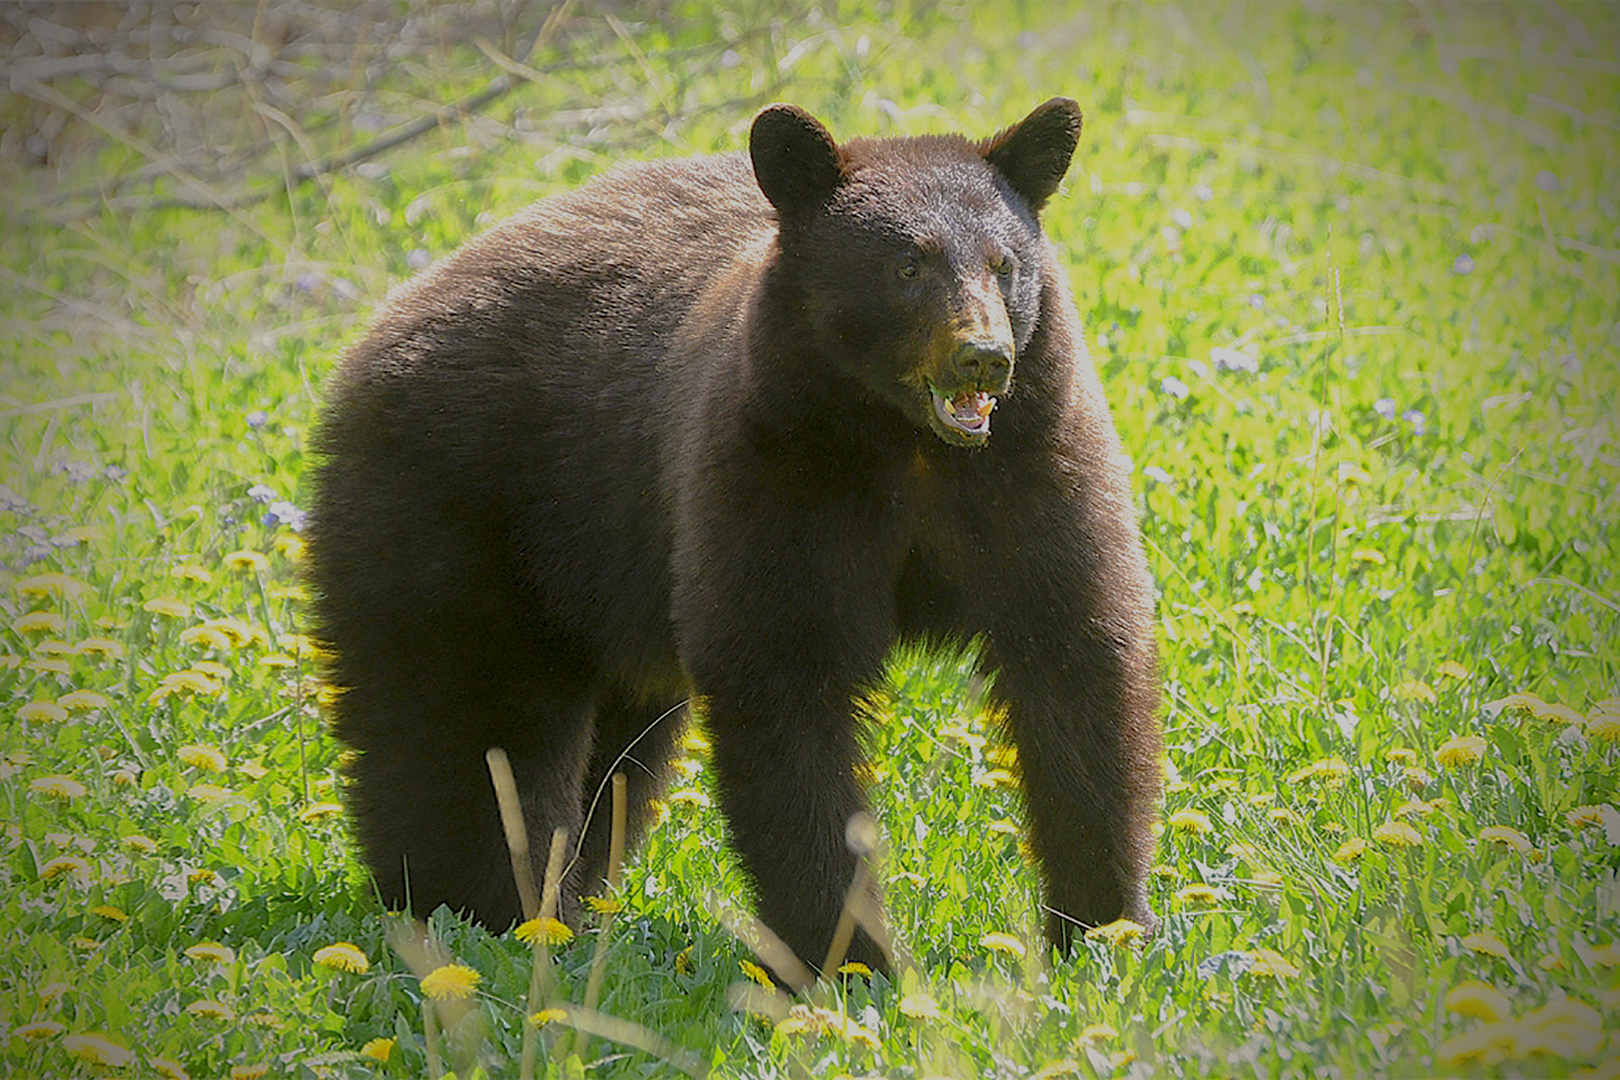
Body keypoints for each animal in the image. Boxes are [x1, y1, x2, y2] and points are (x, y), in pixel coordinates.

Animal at [306, 99, 1166, 977]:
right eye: (907, 266)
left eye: (1004, 263)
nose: (983, 358)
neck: (907, 447)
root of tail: (379, 326)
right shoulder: (776, 471)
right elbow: (784, 680)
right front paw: (846, 957)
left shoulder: (1031, 475)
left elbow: (1076, 661)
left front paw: (1104, 932)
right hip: (464, 507)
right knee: (471, 719)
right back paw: (477, 908)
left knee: (617, 749)